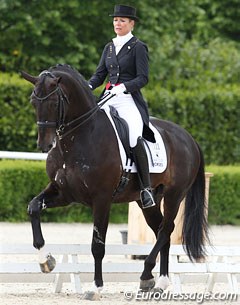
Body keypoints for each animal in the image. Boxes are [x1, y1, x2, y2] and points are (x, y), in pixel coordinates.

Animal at [20, 63, 208, 296]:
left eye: (55, 102)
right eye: (33, 101)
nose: (45, 145)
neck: (79, 138)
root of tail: (188, 138)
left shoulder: (102, 199)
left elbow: (97, 245)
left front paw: (96, 287)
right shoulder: (63, 193)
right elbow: (33, 208)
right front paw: (46, 261)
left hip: (175, 195)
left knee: (165, 230)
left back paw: (146, 275)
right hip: (147, 201)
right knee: (161, 230)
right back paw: (159, 282)